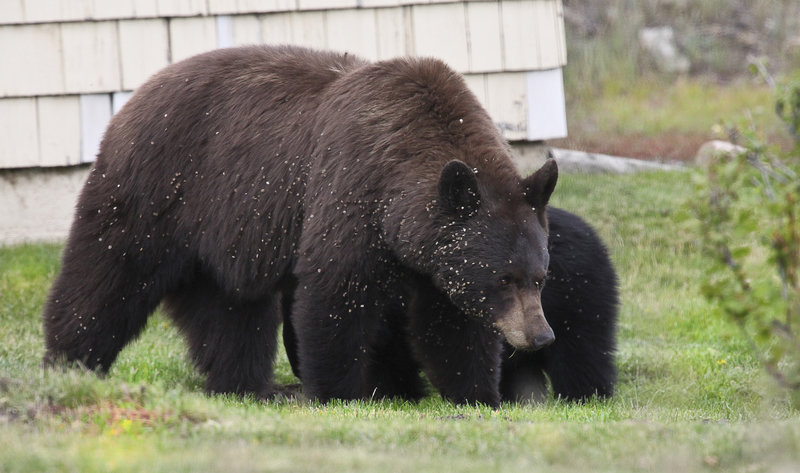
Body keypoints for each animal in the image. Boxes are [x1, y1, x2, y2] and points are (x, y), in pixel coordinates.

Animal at [43, 45, 556, 406]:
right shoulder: (351, 193)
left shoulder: (435, 257)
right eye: (504, 278)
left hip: (226, 234)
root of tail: (137, 95)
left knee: (233, 313)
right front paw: (337, 392)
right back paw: (69, 361)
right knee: (107, 277)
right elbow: (336, 293)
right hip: (158, 193)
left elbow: (452, 322)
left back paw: (245, 384)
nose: (540, 336)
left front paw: (478, 394)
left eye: (539, 277)